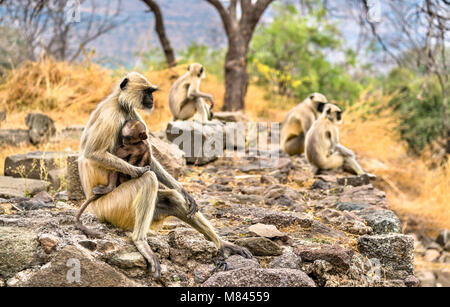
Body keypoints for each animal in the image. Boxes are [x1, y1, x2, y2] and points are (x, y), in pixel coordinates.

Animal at [78, 73, 251, 280]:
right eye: (147, 91)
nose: (151, 99)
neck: (119, 102)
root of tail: (95, 205)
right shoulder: (111, 116)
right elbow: (93, 153)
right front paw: (140, 170)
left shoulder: (132, 115)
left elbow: (153, 162)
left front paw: (183, 190)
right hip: (111, 207)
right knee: (148, 180)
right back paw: (140, 240)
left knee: (172, 199)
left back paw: (222, 244)